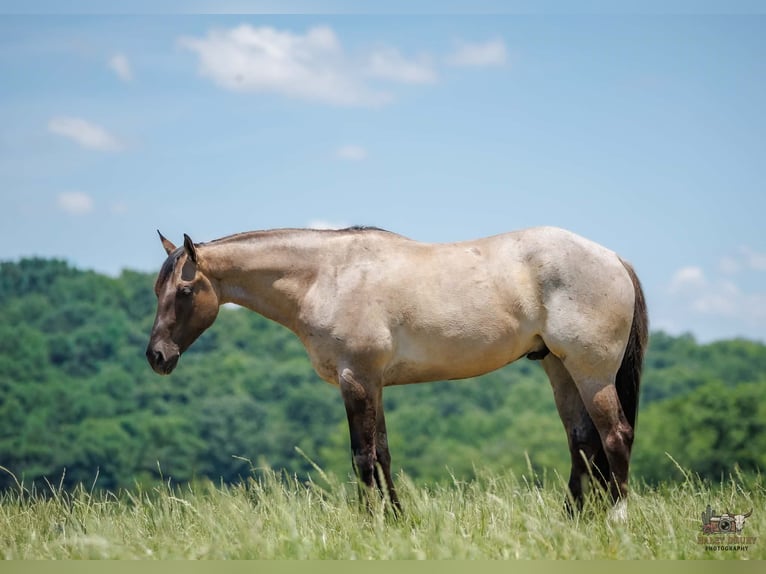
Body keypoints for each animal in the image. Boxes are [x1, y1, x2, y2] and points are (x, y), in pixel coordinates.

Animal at [146, 225, 648, 515]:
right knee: (583, 442)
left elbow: (362, 456)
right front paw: (398, 521)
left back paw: (616, 519)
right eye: (156, 290)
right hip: (560, 369)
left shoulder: (356, 379)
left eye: (185, 291)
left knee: (615, 436)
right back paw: (572, 520)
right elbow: (383, 453)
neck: (327, 275)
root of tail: (613, 258)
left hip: (590, 371)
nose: (157, 357)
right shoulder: (374, 384)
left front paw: (369, 523)